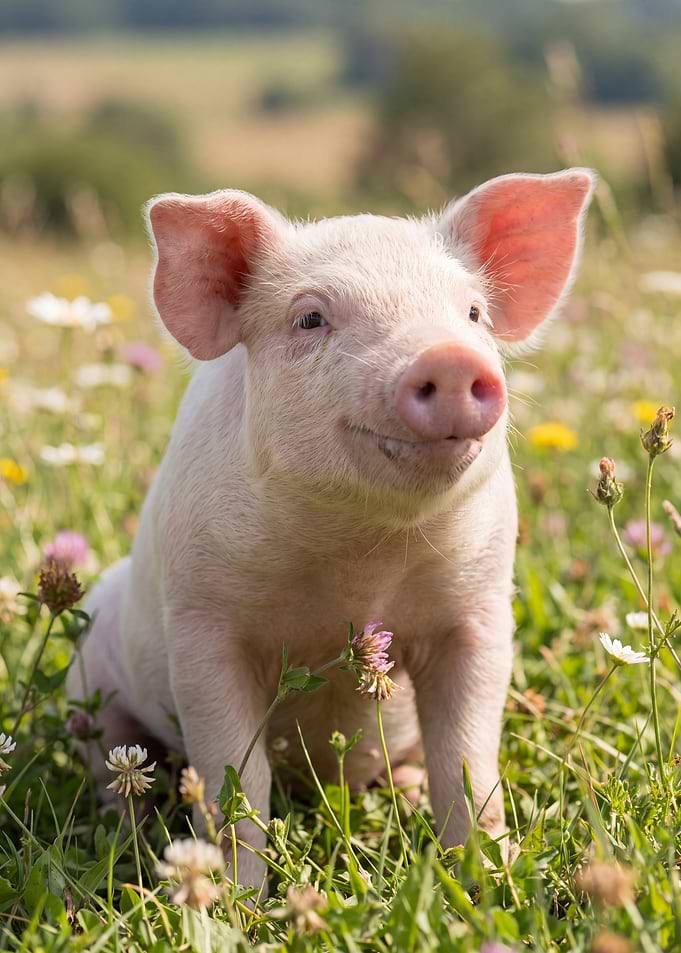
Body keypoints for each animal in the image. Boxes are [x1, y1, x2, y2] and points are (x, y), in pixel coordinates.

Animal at [68, 168, 594, 890]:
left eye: (473, 314)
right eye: (311, 317)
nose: (450, 357)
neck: (360, 558)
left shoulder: (480, 612)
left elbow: (467, 761)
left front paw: (491, 881)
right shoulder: (202, 622)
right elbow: (237, 778)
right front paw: (233, 897)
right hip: (84, 683)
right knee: (112, 759)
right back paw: (131, 823)